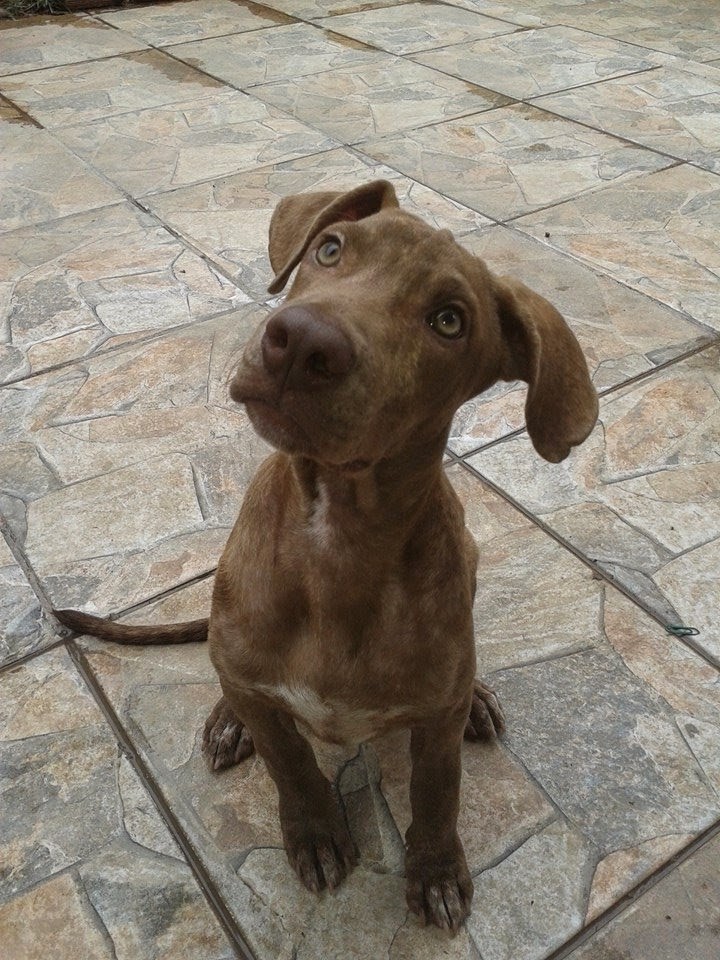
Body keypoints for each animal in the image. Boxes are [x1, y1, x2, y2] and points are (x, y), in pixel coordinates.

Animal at [55, 180, 598, 932]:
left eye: (450, 321)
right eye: (331, 249)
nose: (300, 343)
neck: (337, 543)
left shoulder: (433, 733)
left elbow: (437, 795)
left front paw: (434, 871)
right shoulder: (269, 700)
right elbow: (290, 762)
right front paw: (313, 831)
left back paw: (477, 699)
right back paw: (229, 719)